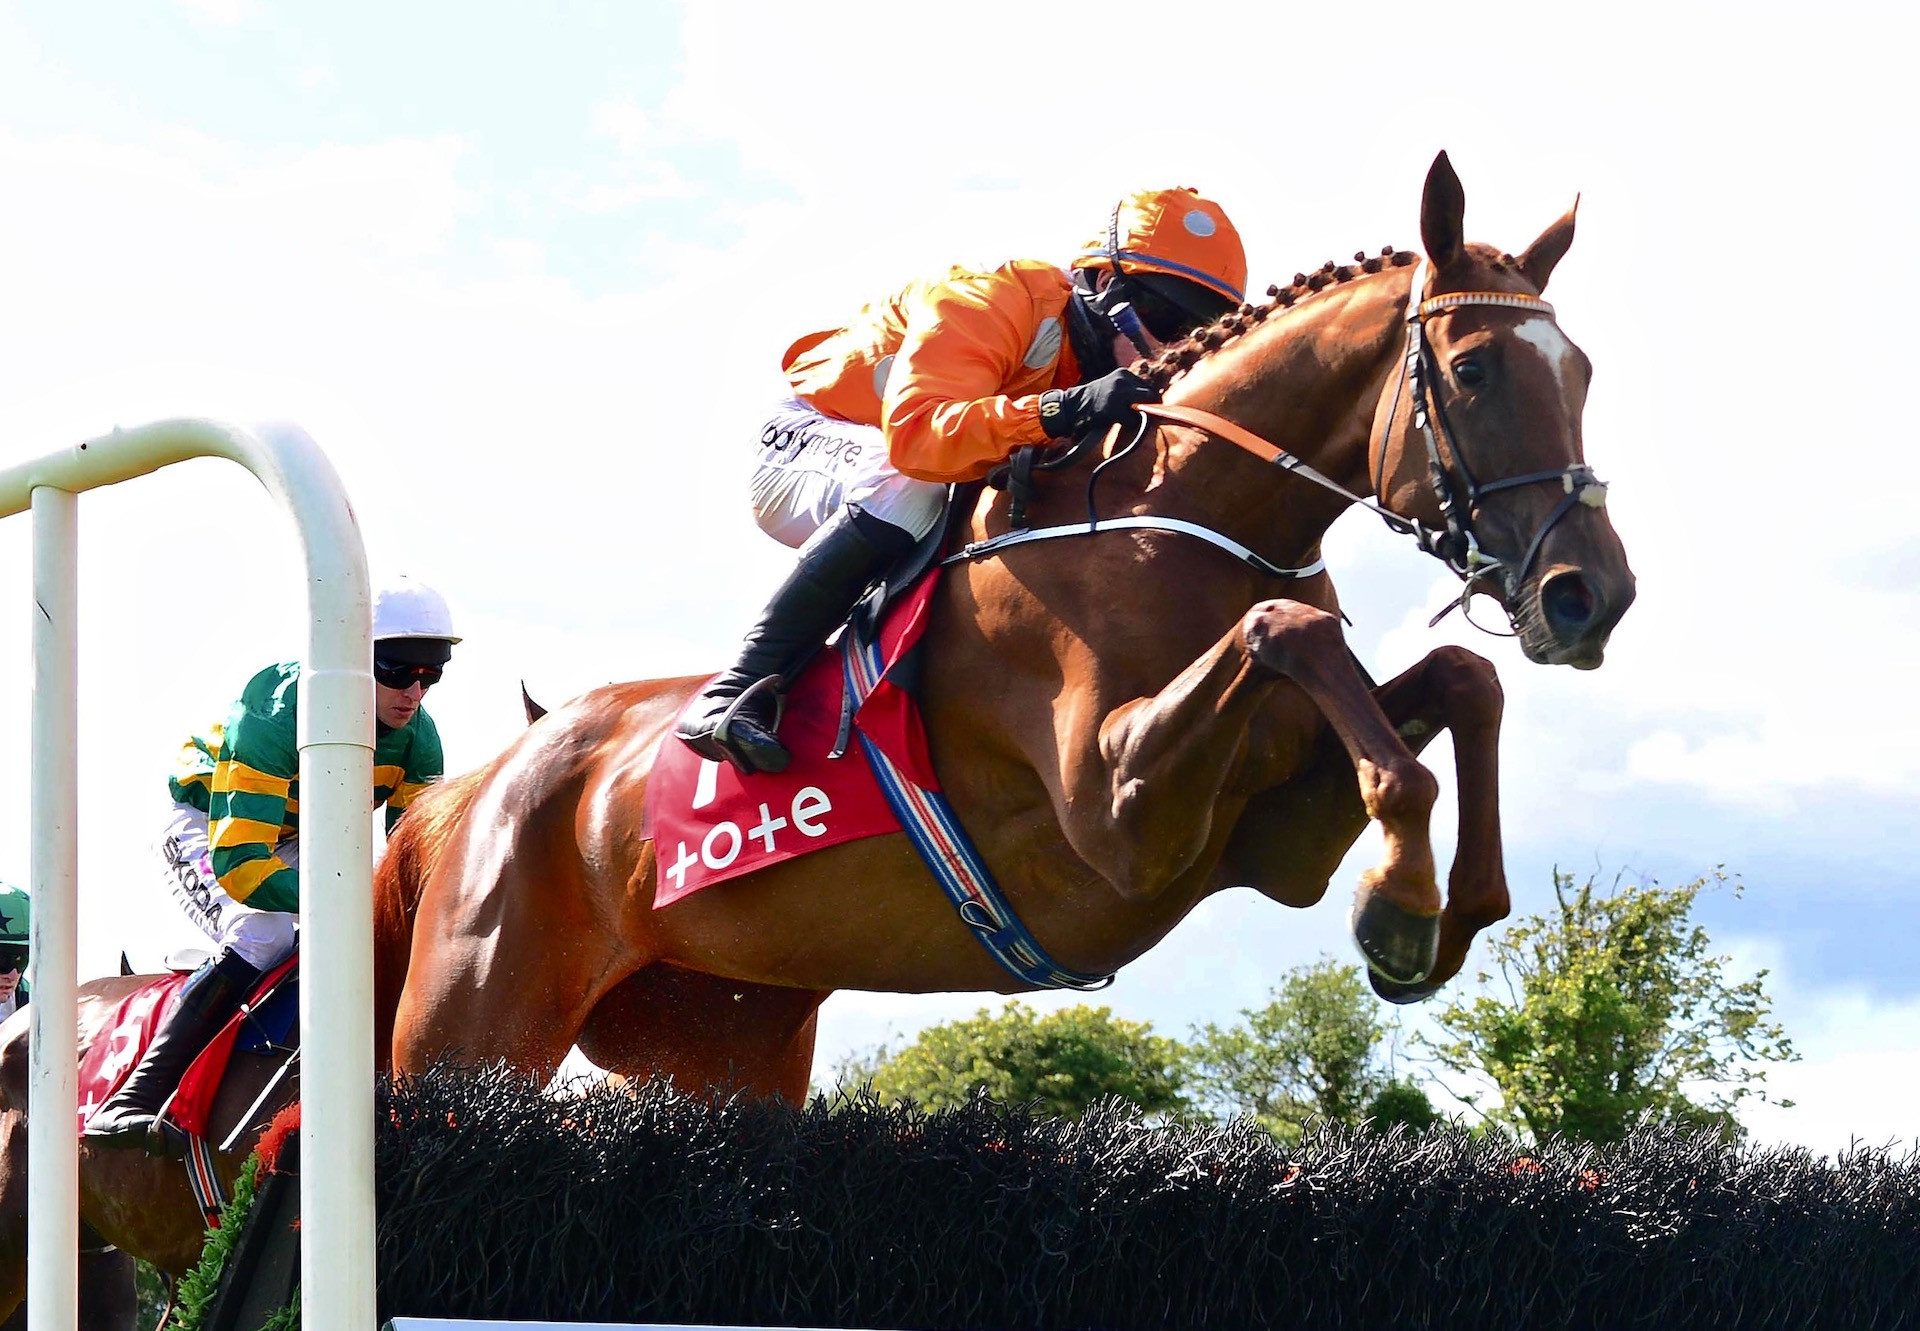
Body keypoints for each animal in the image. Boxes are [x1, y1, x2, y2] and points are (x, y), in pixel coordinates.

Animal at [385, 147, 1635, 1098]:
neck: (1179, 514)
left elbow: (1461, 681)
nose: (1591, 594)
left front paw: (1437, 911)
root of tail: (488, 784)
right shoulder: (1119, 816)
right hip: (473, 1025)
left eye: (1581, 371)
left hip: (724, 1041)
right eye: (1473, 370)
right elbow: (1288, 629)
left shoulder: (1277, 832)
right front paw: (1404, 900)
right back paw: (733, 708)